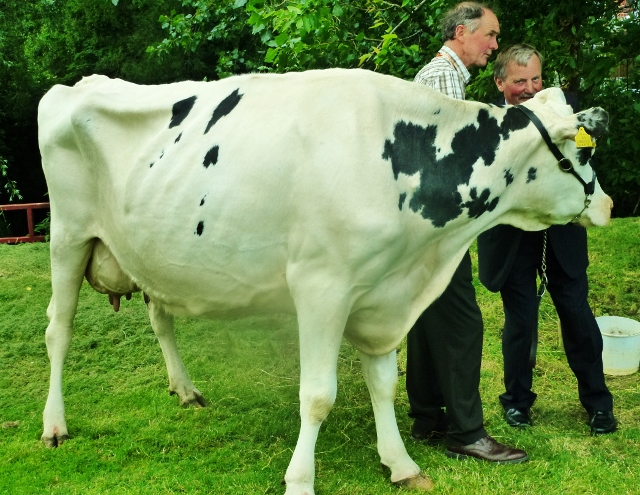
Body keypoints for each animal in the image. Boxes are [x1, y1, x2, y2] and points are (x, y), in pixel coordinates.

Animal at [38, 68, 612, 494]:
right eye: (584, 153)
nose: (606, 204)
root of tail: (77, 84)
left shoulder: (382, 292)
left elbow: (383, 383)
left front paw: (400, 463)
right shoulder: (321, 286)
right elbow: (317, 394)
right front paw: (299, 479)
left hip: (148, 253)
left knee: (160, 316)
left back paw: (185, 390)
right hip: (67, 236)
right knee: (57, 330)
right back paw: (54, 425)